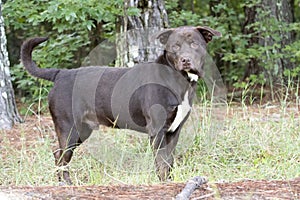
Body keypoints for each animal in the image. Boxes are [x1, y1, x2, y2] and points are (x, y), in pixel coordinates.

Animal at [20, 26, 220, 184]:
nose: (186, 60)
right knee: (61, 157)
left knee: (58, 155)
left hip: (82, 131)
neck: (178, 80)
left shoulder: (174, 131)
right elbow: (161, 163)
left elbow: (169, 162)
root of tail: (60, 74)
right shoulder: (157, 130)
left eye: (194, 44)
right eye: (175, 46)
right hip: (69, 128)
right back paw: (66, 184)